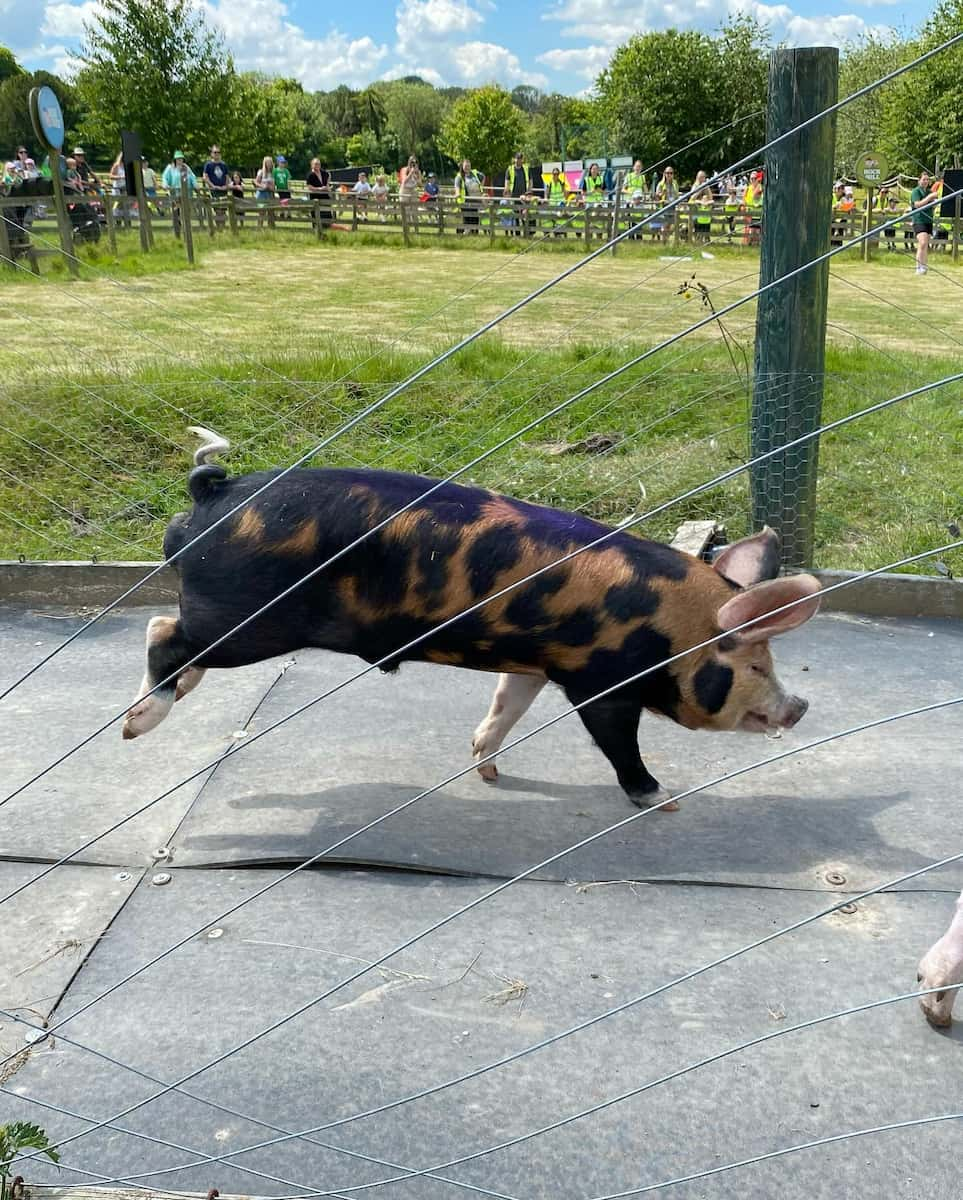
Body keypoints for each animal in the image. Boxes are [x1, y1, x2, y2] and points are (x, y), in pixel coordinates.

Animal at [121, 427, 816, 811]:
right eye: (756, 664)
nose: (801, 706)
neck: (672, 628)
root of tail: (215, 492)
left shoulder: (535, 664)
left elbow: (506, 703)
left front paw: (486, 768)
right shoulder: (601, 682)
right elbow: (618, 743)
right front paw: (663, 799)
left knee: (180, 648)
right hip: (247, 620)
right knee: (163, 635)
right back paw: (135, 727)